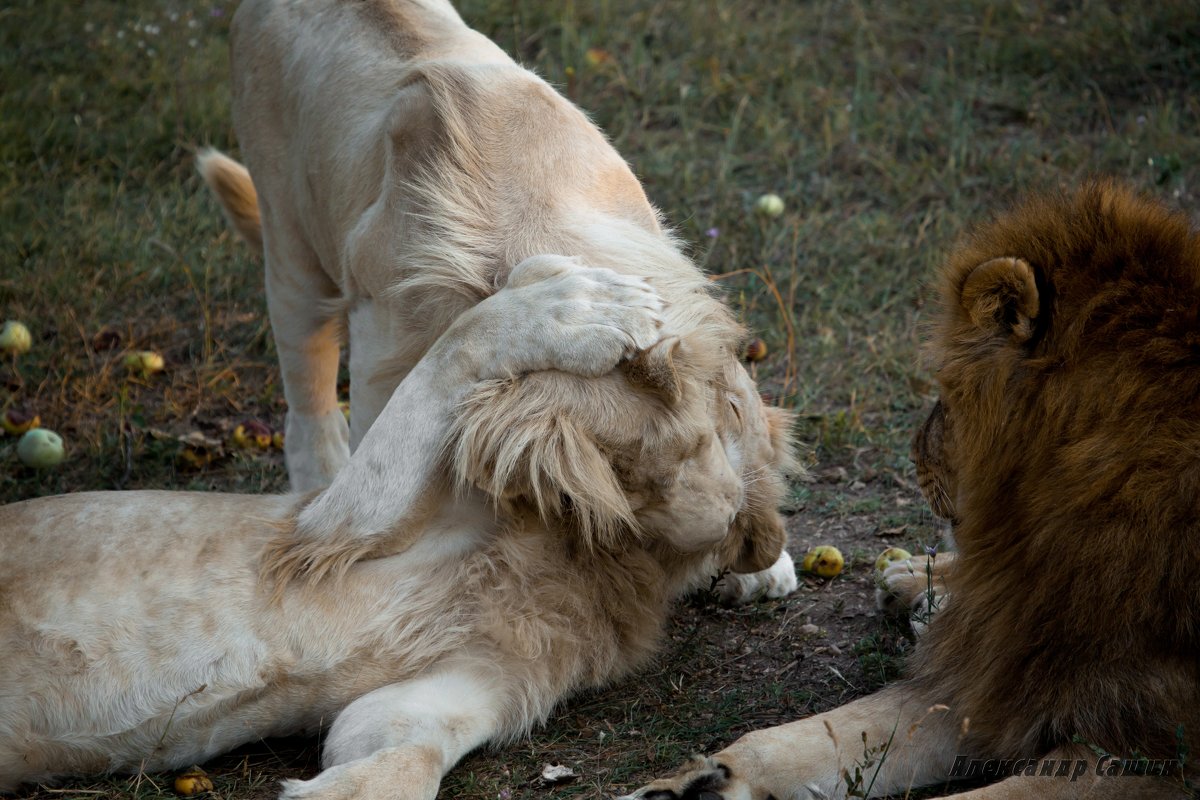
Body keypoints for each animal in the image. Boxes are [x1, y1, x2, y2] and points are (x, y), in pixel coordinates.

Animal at [0, 261, 796, 796]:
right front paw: (571, 299)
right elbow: (456, 347)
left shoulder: (464, 682)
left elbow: (403, 758)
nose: (668, 363)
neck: (596, 553)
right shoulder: (322, 530)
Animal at [633, 181, 1195, 800]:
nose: (914, 454)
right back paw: (911, 584)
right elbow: (818, 736)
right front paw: (697, 782)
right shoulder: (1003, 665)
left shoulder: (1148, 750)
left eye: (945, 393)